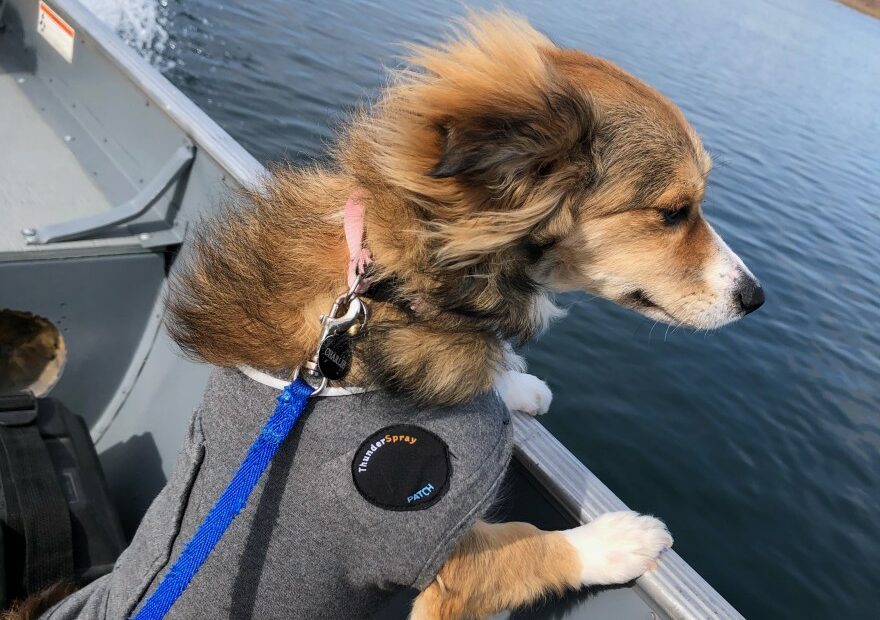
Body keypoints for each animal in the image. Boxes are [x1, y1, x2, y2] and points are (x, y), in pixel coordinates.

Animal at [6, 9, 760, 620]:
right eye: (674, 212)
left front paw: (517, 385)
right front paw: (620, 540)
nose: (755, 298)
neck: (396, 287)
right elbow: (530, 544)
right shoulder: (440, 548)